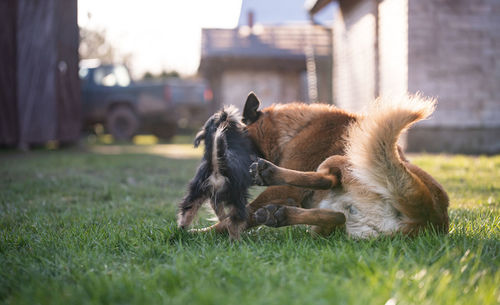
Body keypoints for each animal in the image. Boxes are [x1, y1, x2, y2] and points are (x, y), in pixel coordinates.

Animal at [179, 105, 258, 239]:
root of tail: (217, 166)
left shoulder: (213, 198)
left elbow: (220, 214)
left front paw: (222, 222)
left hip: (198, 191)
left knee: (187, 209)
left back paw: (182, 229)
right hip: (237, 197)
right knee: (236, 219)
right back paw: (236, 239)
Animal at [199, 92, 450, 238]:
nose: (208, 180)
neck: (297, 128)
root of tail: (429, 214)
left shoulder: (283, 190)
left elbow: (237, 218)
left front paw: (197, 233)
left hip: (339, 160)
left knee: (326, 179)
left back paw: (269, 175)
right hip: (340, 221)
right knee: (336, 217)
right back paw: (282, 216)